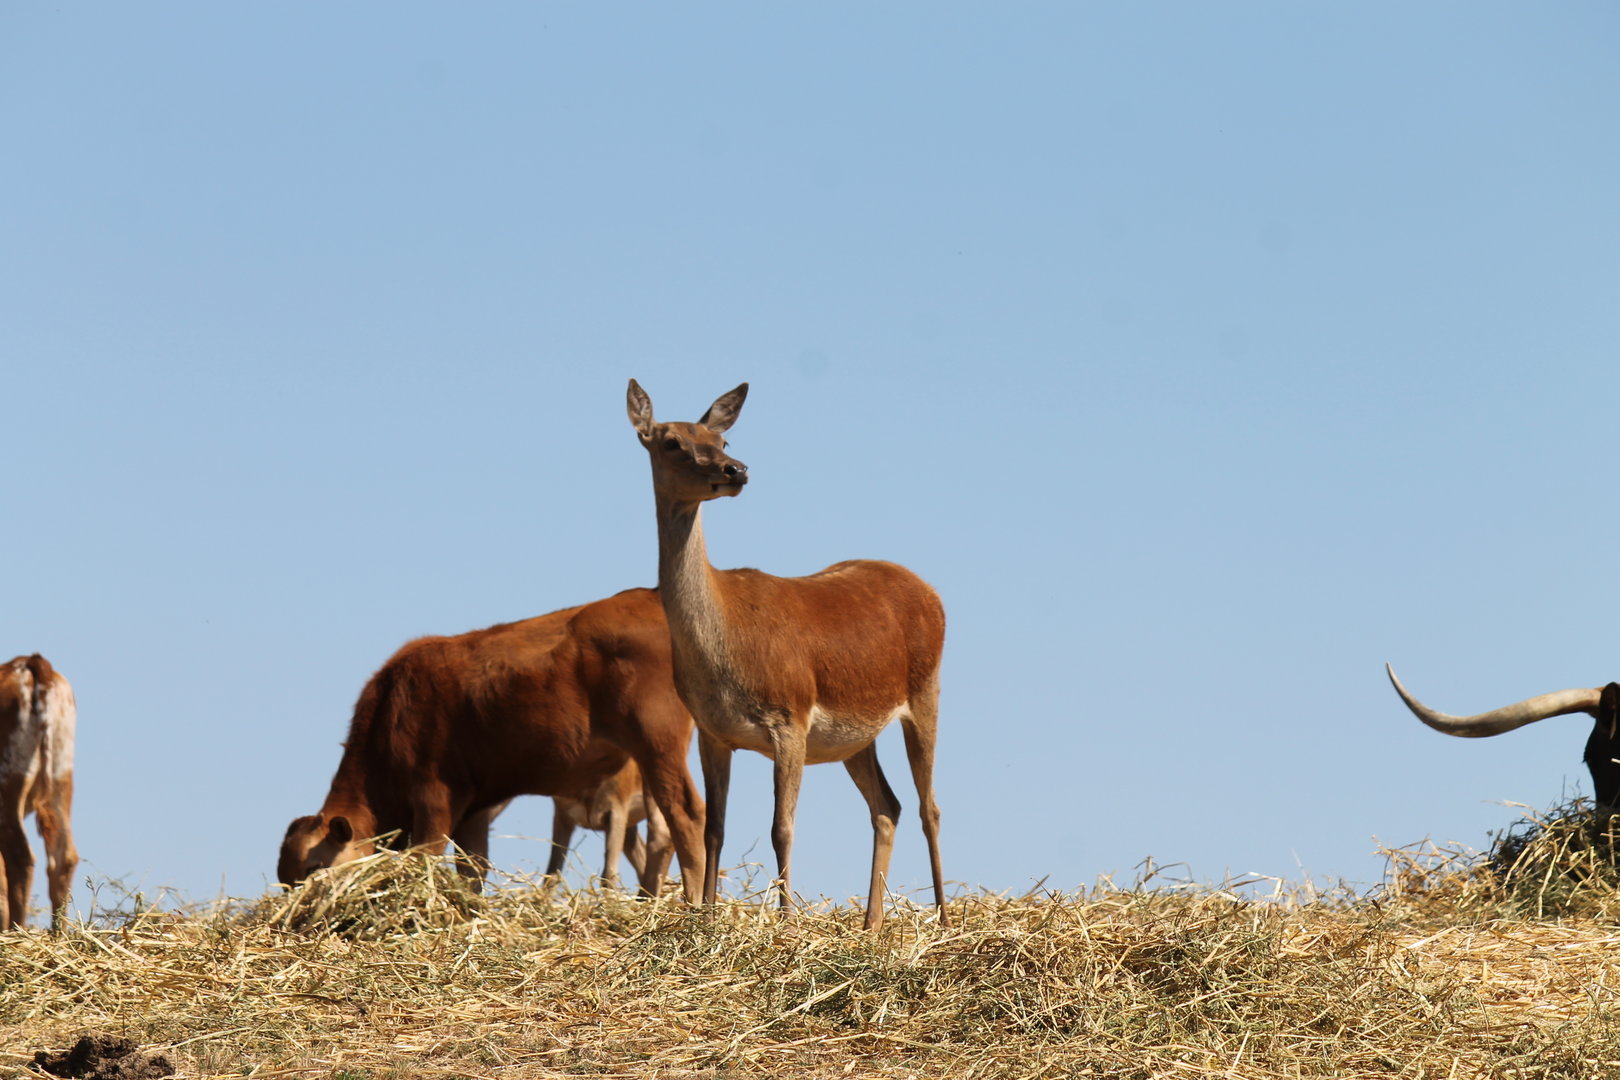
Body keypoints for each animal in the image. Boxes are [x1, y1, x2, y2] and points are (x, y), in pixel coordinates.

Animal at [626, 379, 947, 929]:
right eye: (670, 441)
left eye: (722, 441)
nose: (736, 470)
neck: (723, 652)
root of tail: (930, 592)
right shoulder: (713, 732)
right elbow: (714, 826)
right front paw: (707, 914)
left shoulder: (789, 717)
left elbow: (782, 826)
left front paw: (785, 919)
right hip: (856, 738)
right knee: (889, 806)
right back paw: (870, 925)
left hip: (926, 689)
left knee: (931, 808)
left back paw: (946, 920)